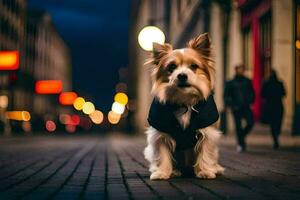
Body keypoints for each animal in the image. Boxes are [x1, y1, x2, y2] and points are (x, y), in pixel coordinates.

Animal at [144, 32, 224, 180]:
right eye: (171, 67)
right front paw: (162, 172)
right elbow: (162, 155)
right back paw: (174, 171)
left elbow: (206, 154)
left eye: (193, 66)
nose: (182, 75)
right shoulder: (160, 135)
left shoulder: (207, 133)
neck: (184, 101)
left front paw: (205, 171)